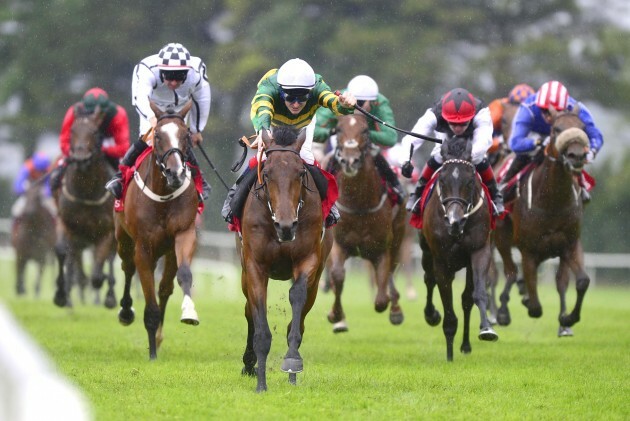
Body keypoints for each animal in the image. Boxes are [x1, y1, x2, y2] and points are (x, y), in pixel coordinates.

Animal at [53, 107, 118, 308]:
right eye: (72, 131)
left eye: (95, 132)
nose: (80, 159)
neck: (86, 191)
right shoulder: (68, 224)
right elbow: (62, 251)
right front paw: (61, 294)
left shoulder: (107, 231)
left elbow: (97, 274)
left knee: (110, 258)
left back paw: (110, 294)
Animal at [115, 100, 200, 360]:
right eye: (159, 136)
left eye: (186, 135)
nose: (176, 173)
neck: (163, 194)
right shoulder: (143, 246)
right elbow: (148, 297)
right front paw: (152, 352)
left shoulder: (184, 233)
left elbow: (184, 275)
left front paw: (189, 312)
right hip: (123, 240)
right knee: (128, 268)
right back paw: (126, 312)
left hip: (167, 250)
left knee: (164, 288)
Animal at [238, 126, 336, 392]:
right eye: (267, 173)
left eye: (300, 172)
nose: (286, 225)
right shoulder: (255, 266)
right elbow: (259, 323)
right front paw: (261, 384)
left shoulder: (308, 260)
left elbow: (297, 300)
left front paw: (292, 362)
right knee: (249, 311)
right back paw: (249, 364)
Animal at [324, 114, 408, 332]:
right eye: (338, 129)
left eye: (365, 131)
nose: (350, 160)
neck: (359, 204)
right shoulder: (338, 244)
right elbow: (337, 275)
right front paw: (336, 315)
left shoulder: (382, 249)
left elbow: (381, 299)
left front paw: (392, 307)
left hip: (398, 236)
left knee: (391, 271)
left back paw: (396, 309)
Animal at [496, 110, 592, 336]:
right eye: (556, 129)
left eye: (583, 128)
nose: (577, 156)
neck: (552, 201)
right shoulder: (529, 250)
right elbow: (535, 306)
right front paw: (526, 301)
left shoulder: (569, 244)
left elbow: (580, 281)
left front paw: (568, 318)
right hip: (500, 237)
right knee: (509, 271)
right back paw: (502, 312)